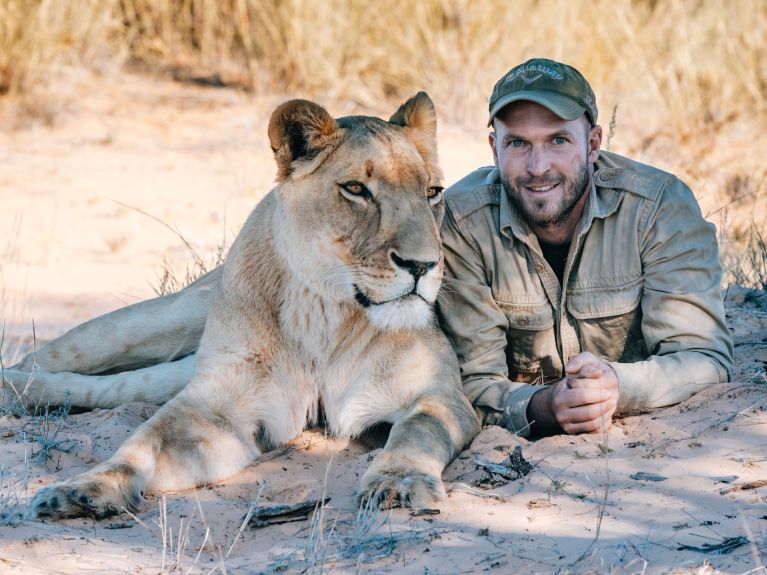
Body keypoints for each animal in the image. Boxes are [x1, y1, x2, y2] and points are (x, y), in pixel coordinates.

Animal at [3, 93, 480, 519]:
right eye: (356, 189)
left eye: (433, 191)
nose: (423, 265)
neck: (327, 313)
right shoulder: (217, 408)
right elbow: (144, 441)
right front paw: (84, 488)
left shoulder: (440, 396)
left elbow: (417, 432)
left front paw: (398, 484)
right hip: (156, 320)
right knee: (55, 360)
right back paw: (14, 387)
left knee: (117, 390)